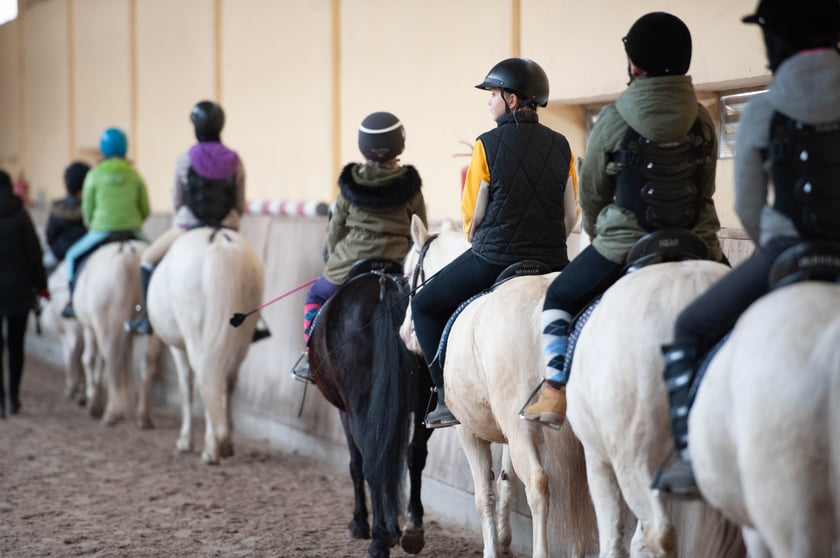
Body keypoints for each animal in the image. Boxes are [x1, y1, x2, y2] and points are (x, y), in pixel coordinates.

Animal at [73, 240, 145, 424]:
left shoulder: (89, 328)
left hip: (103, 323)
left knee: (109, 358)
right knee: (143, 364)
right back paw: (140, 416)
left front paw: (93, 399)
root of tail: (126, 255)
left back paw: (111, 412)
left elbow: (89, 359)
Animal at [139, 228, 262, 468]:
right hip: (243, 336)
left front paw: (185, 441)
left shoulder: (178, 348)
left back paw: (211, 448)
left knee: (206, 378)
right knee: (228, 380)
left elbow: (185, 387)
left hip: (196, 335)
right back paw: (225, 443)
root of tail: (221, 243)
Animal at [402, 218, 592, 558]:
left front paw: (493, 547)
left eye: (409, 275)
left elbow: (483, 495)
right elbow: (505, 478)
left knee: (539, 484)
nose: (404, 334)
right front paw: (504, 539)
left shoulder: (468, 429)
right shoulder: (506, 428)